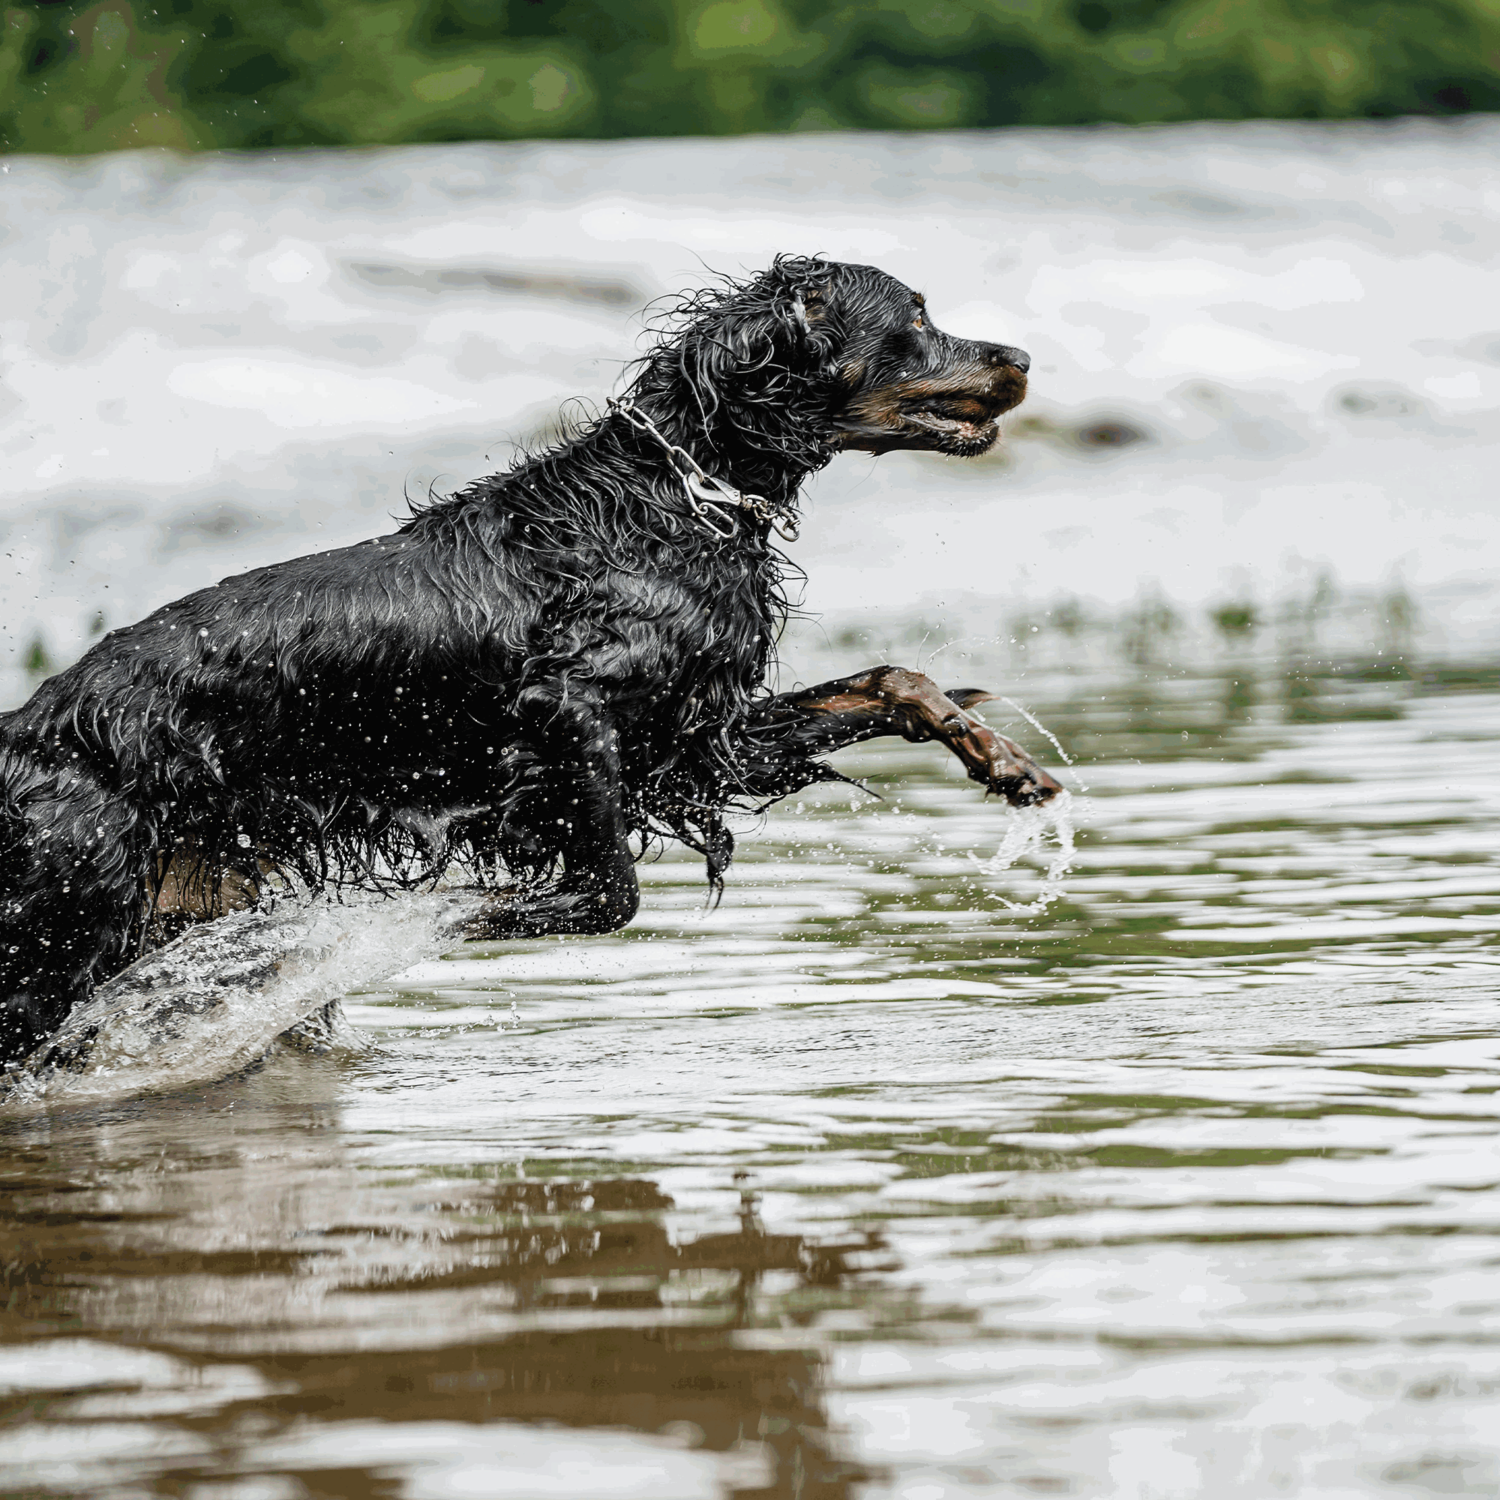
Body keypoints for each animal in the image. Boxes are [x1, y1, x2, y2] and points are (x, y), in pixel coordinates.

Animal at [0, 258, 1062, 1062]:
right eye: (914, 316)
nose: (1021, 356)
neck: (677, 498)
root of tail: (24, 733)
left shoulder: (694, 735)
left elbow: (894, 681)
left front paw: (1003, 762)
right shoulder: (566, 712)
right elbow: (606, 892)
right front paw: (466, 916)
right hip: (58, 922)